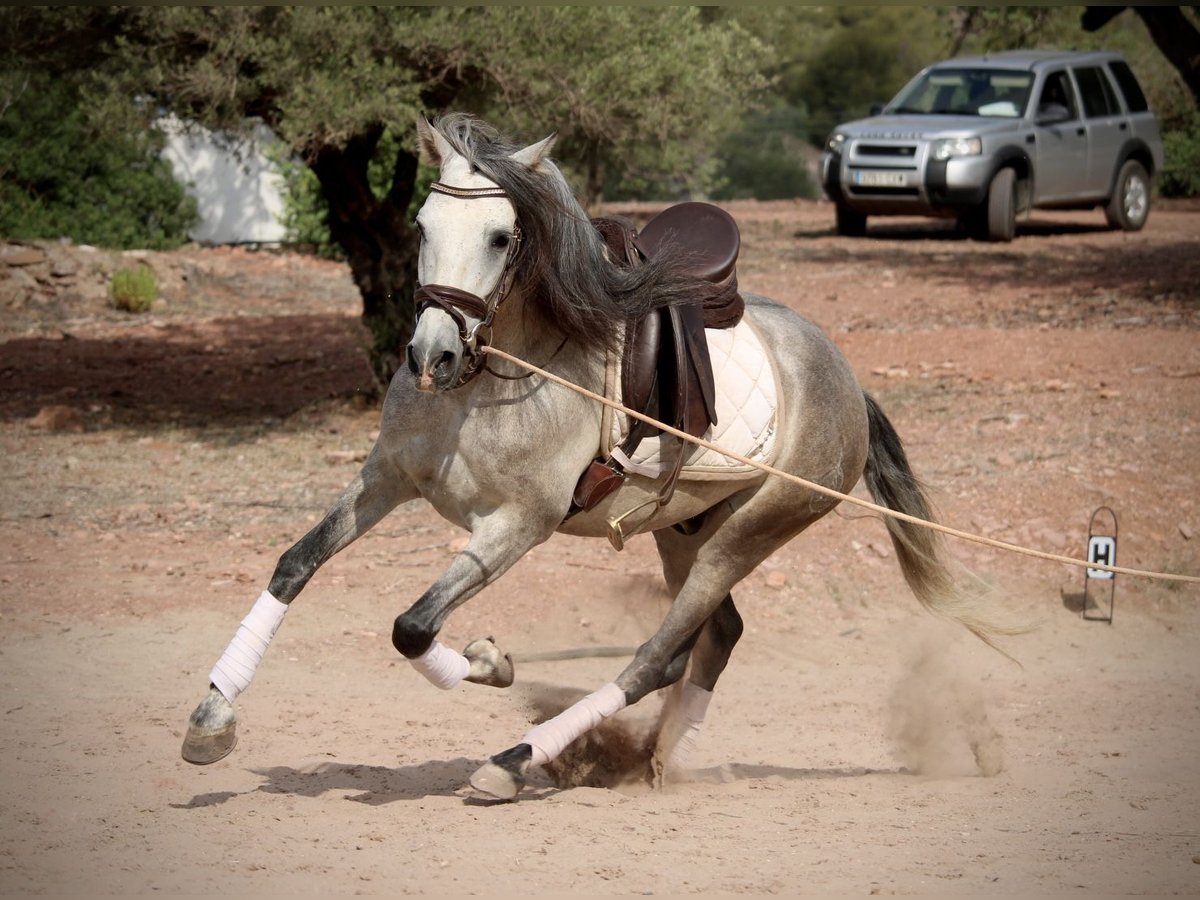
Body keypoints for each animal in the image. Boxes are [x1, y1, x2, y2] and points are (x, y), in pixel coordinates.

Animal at [180, 114, 1003, 801]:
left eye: (501, 237)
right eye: (421, 225)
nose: (431, 355)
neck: (489, 381)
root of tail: (846, 380)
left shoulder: (517, 525)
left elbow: (412, 626)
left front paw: (488, 662)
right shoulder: (385, 479)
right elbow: (296, 562)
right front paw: (212, 719)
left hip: (749, 533)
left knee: (655, 657)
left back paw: (514, 762)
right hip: (686, 529)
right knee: (714, 640)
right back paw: (664, 761)